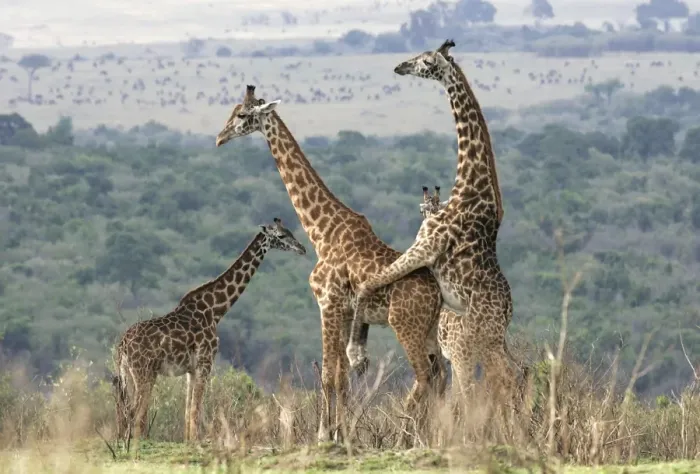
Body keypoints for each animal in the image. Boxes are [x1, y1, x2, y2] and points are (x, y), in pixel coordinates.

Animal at [112, 218, 307, 450]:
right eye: (281, 236)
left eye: (290, 231)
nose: (302, 248)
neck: (216, 310)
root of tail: (122, 345)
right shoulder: (206, 362)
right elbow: (196, 409)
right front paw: (196, 443)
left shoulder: (191, 369)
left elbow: (188, 410)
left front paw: (188, 441)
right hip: (144, 373)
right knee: (135, 411)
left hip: (128, 373)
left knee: (125, 410)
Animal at [215, 85, 444, 445]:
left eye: (241, 115)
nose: (219, 138)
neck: (322, 232)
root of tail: (436, 294)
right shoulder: (345, 311)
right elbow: (341, 376)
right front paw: (343, 433)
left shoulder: (327, 303)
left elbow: (327, 375)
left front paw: (325, 434)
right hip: (429, 328)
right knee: (440, 376)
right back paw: (434, 435)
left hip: (405, 325)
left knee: (424, 376)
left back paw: (404, 437)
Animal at [348, 39, 518, 410]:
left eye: (426, 61)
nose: (400, 66)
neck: (468, 186)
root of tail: (507, 311)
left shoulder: (424, 246)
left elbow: (368, 283)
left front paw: (356, 353)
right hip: (491, 339)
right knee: (512, 374)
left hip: (477, 339)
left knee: (496, 380)